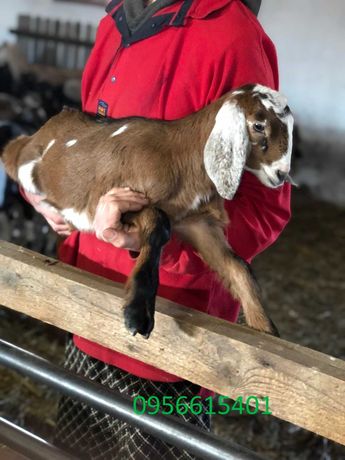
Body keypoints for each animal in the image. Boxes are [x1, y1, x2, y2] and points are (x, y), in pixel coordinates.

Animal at [2, 84, 292, 338]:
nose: (281, 175)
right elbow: (159, 225)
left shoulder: (197, 224)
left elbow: (238, 267)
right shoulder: (122, 200)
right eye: (258, 125)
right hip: (25, 163)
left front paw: (266, 330)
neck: (182, 157)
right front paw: (137, 312)